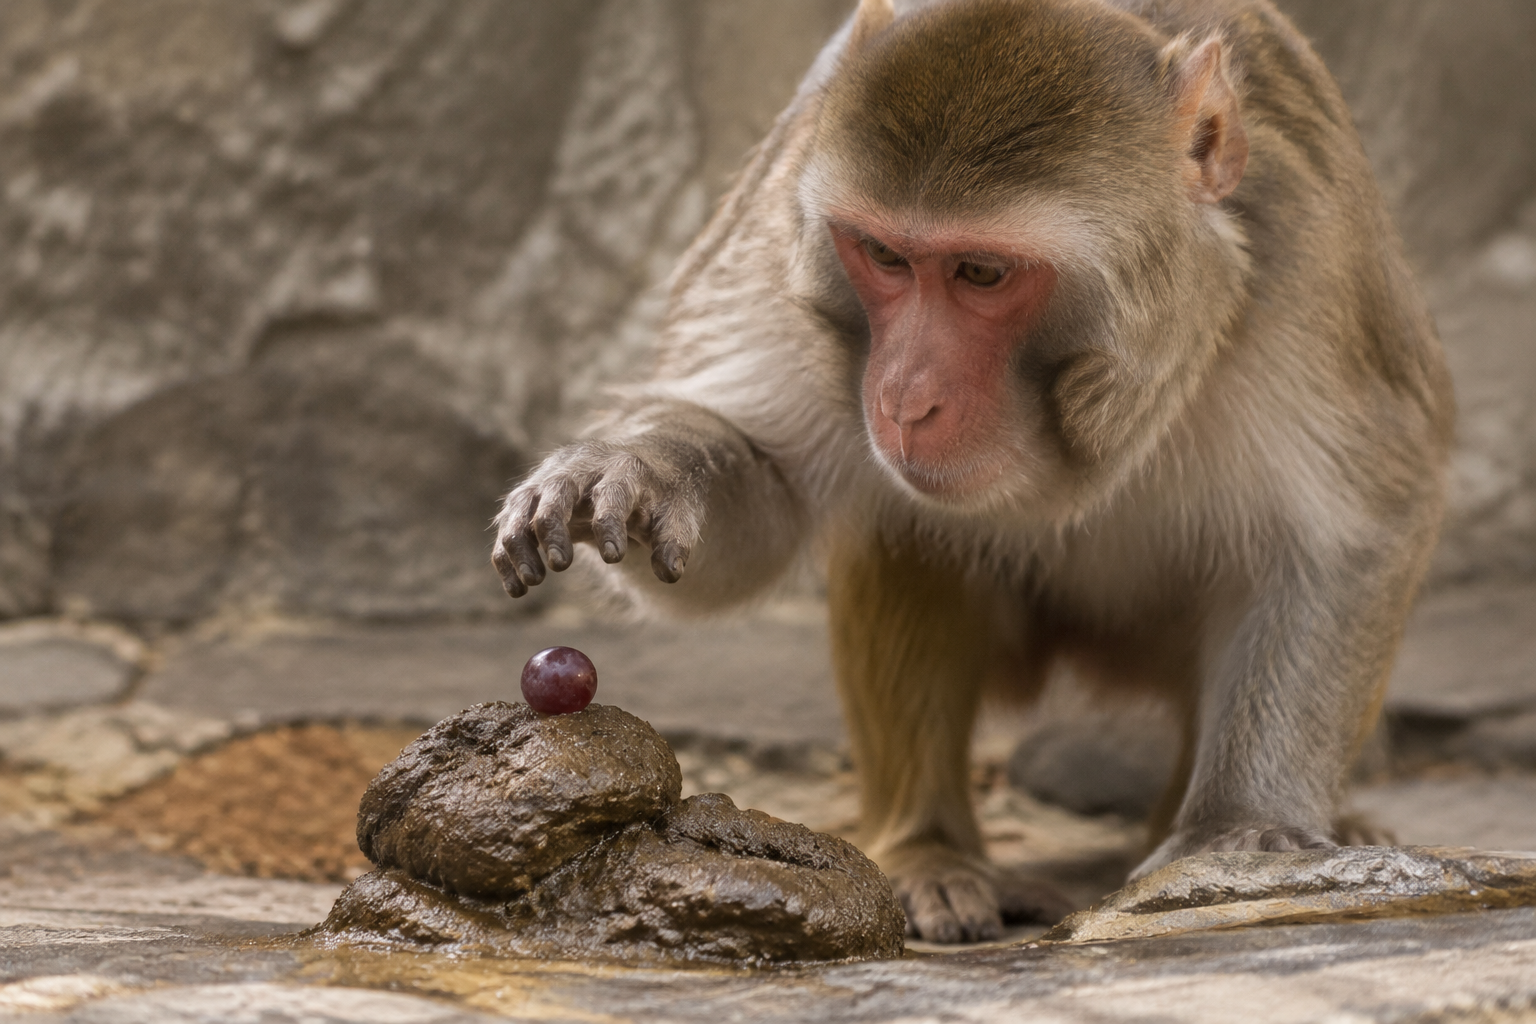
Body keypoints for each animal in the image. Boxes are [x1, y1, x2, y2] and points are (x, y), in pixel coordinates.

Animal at [492, 0, 1453, 944]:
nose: (905, 398)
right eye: (883, 256)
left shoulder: (1308, 272)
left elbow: (1348, 534)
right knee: (903, 527)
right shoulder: (783, 221)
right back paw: (927, 851)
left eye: (982, 272)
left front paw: (1238, 828)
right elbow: (764, 476)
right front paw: (641, 471)